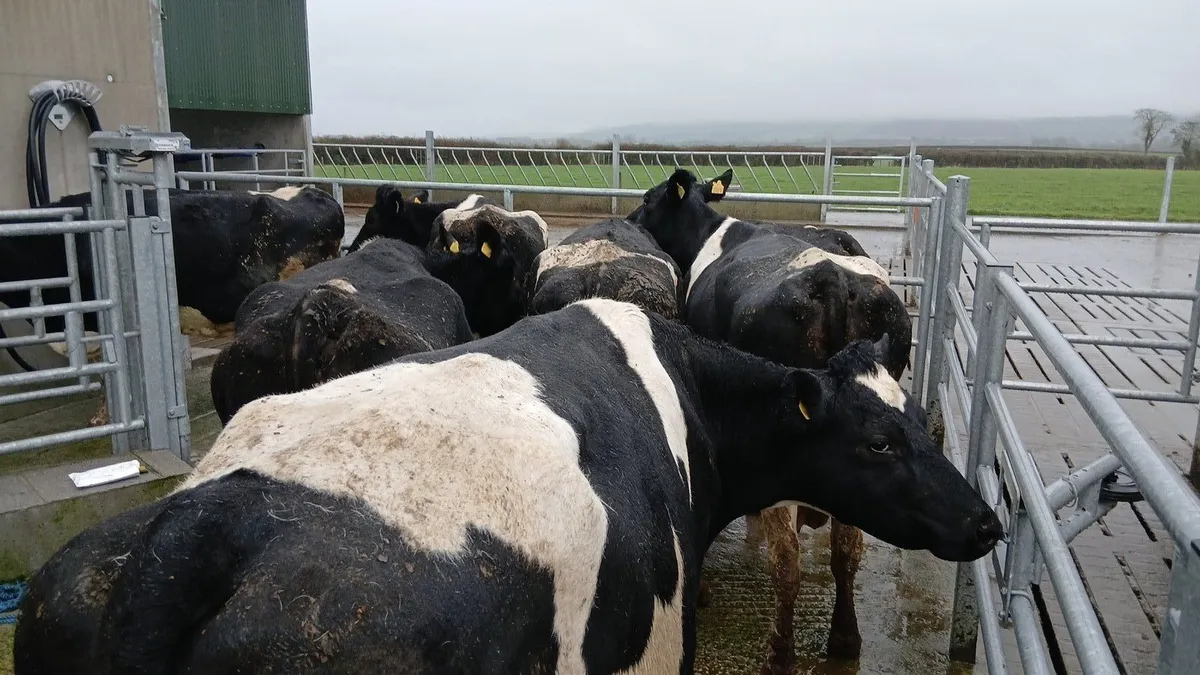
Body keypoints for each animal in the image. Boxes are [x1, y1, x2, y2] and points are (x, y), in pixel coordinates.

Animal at [631, 169, 916, 668]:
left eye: (648, 199)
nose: (629, 219)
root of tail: (833, 281)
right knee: (847, 548)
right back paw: (844, 640)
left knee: (788, 559)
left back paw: (781, 652)